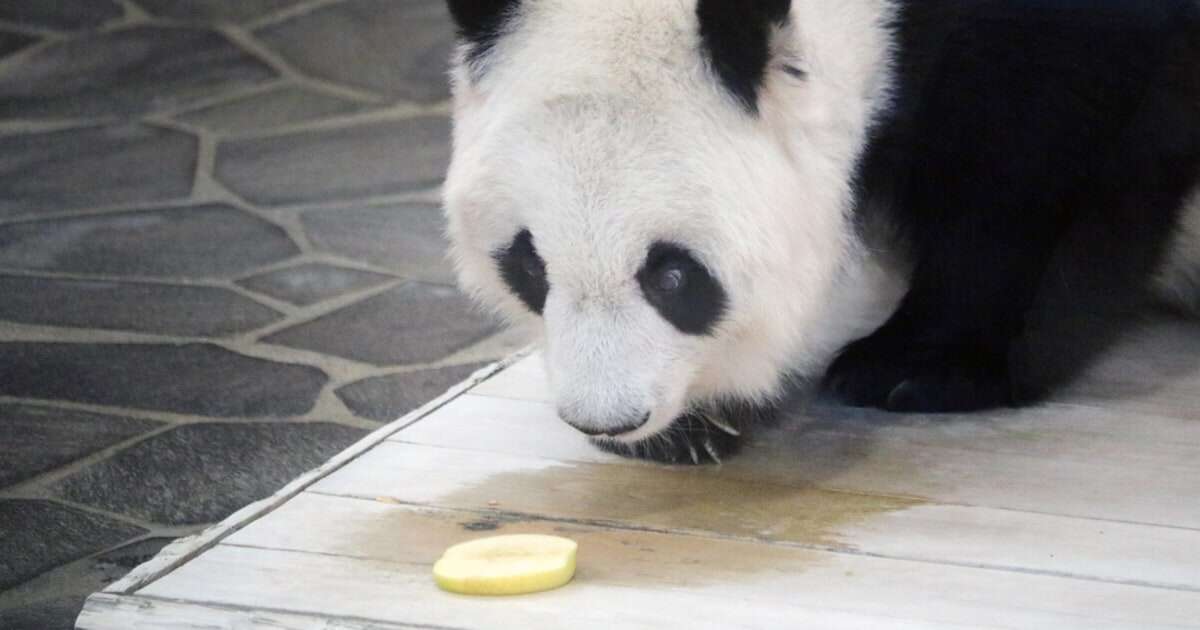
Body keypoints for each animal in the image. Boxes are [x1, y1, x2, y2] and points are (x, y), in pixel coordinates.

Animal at [441, 0, 1200, 460]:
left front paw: (923, 366)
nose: (608, 422)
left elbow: (1031, 156)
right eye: (528, 266)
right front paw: (697, 428)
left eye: (673, 275)